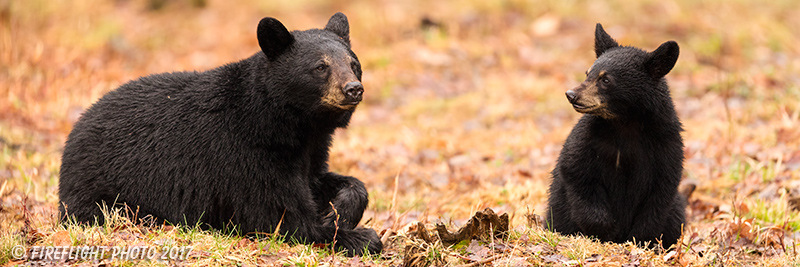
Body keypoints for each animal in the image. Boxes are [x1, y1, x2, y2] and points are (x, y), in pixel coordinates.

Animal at [57, 13, 382, 258]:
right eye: (320, 67)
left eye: (354, 64)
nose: (353, 89)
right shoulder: (244, 156)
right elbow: (282, 217)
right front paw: (358, 237)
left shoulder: (309, 149)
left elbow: (321, 181)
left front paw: (341, 209)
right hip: (103, 195)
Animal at [544, 24, 688, 250]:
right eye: (588, 73)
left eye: (605, 79)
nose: (571, 94)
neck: (625, 123)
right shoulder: (588, 137)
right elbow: (576, 170)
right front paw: (606, 230)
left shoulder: (666, 144)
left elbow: (660, 192)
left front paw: (639, 239)